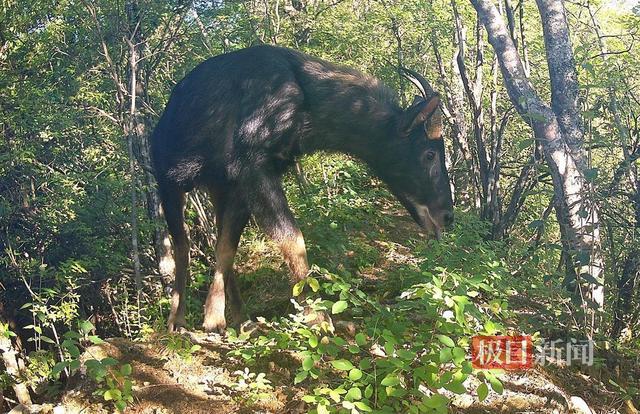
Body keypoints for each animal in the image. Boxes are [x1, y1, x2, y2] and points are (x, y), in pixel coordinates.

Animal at [151, 45, 456, 332]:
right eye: (430, 154)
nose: (447, 216)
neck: (309, 114)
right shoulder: (252, 168)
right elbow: (293, 239)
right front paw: (316, 316)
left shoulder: (242, 183)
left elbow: (227, 247)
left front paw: (220, 316)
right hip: (169, 182)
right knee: (181, 245)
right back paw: (176, 319)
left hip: (217, 189)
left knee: (217, 242)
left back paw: (239, 316)